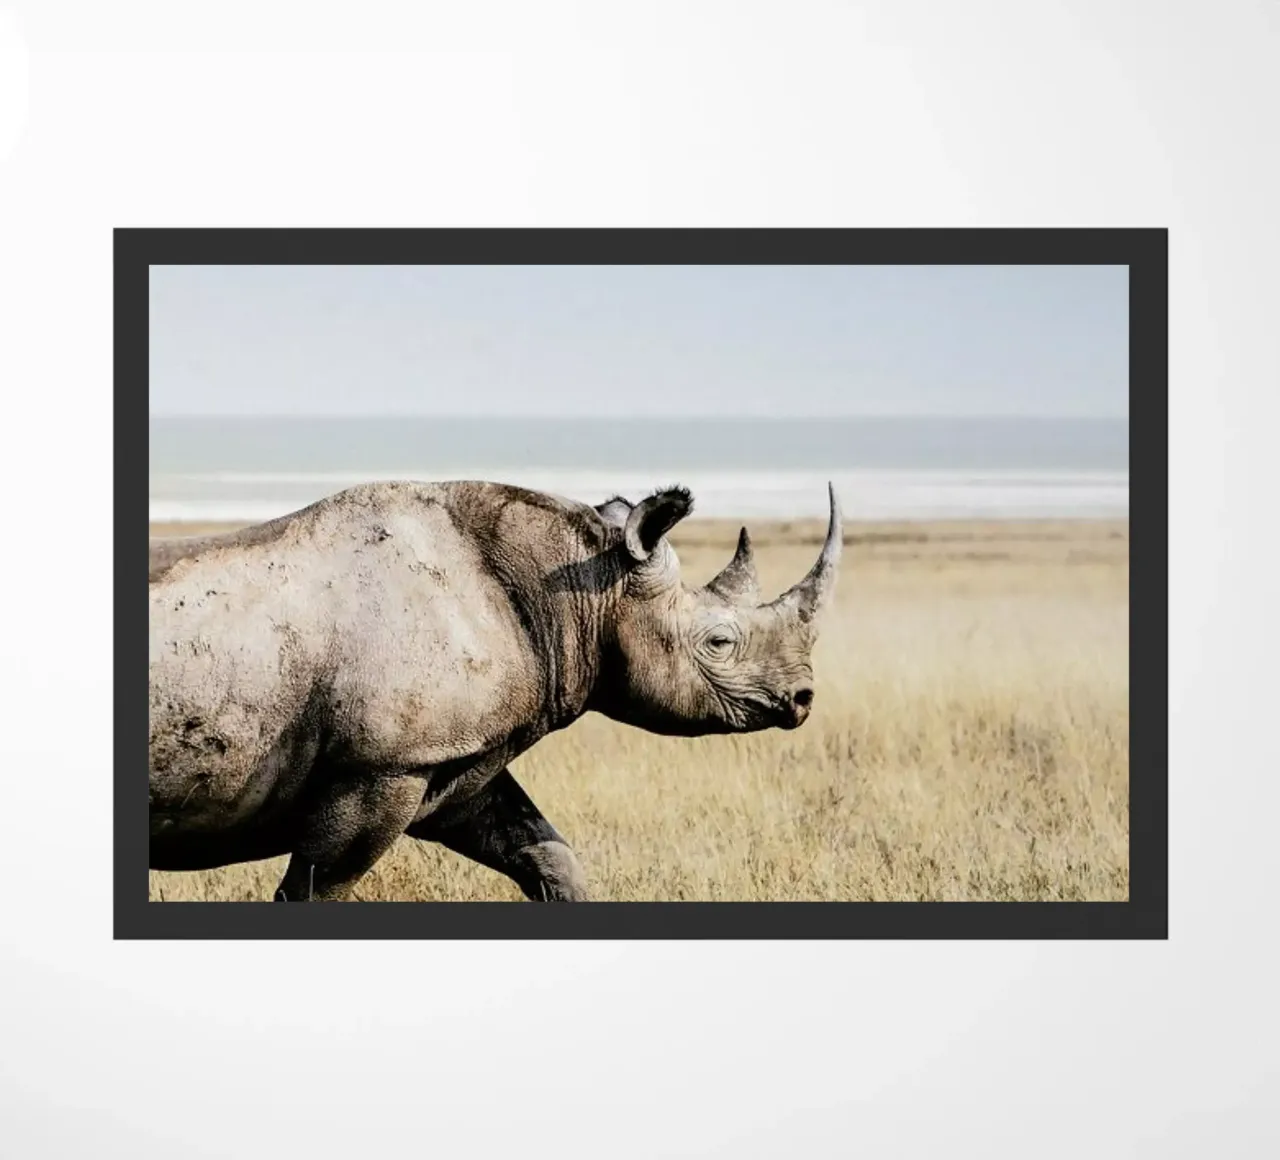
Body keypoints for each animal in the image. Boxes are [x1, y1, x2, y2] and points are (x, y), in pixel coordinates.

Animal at [148, 479, 843, 901]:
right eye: (719, 643)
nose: (804, 699)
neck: (582, 589)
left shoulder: (454, 759)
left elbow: (546, 855)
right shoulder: (383, 766)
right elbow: (316, 888)